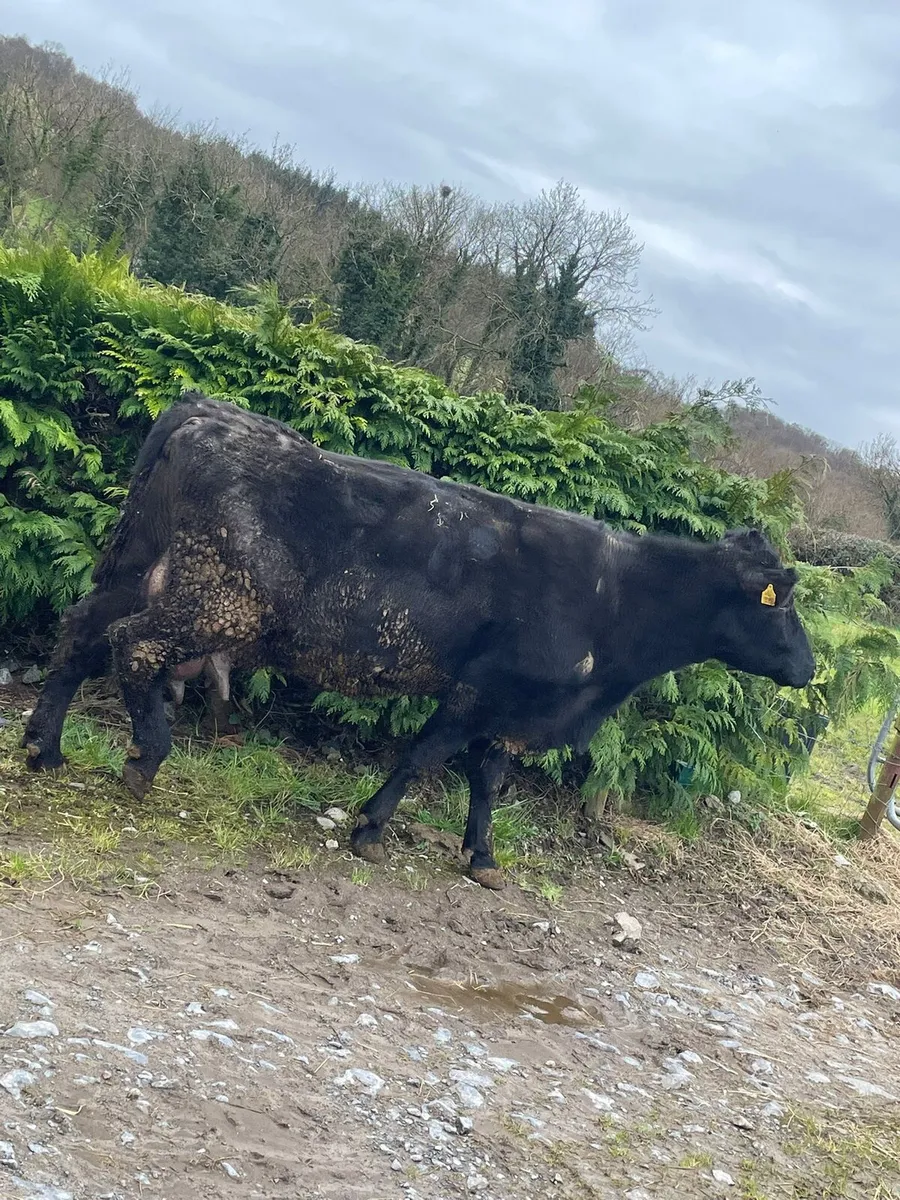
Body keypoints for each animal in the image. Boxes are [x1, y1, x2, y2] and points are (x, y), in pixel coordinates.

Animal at [22, 392, 815, 889]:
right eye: (781, 602)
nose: (809, 667)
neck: (614, 597)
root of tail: (204, 411)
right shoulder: (479, 688)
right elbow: (425, 752)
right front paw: (371, 829)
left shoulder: (512, 704)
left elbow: (488, 778)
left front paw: (483, 858)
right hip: (220, 600)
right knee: (131, 643)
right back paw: (144, 755)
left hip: (143, 569)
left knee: (81, 629)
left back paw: (44, 747)